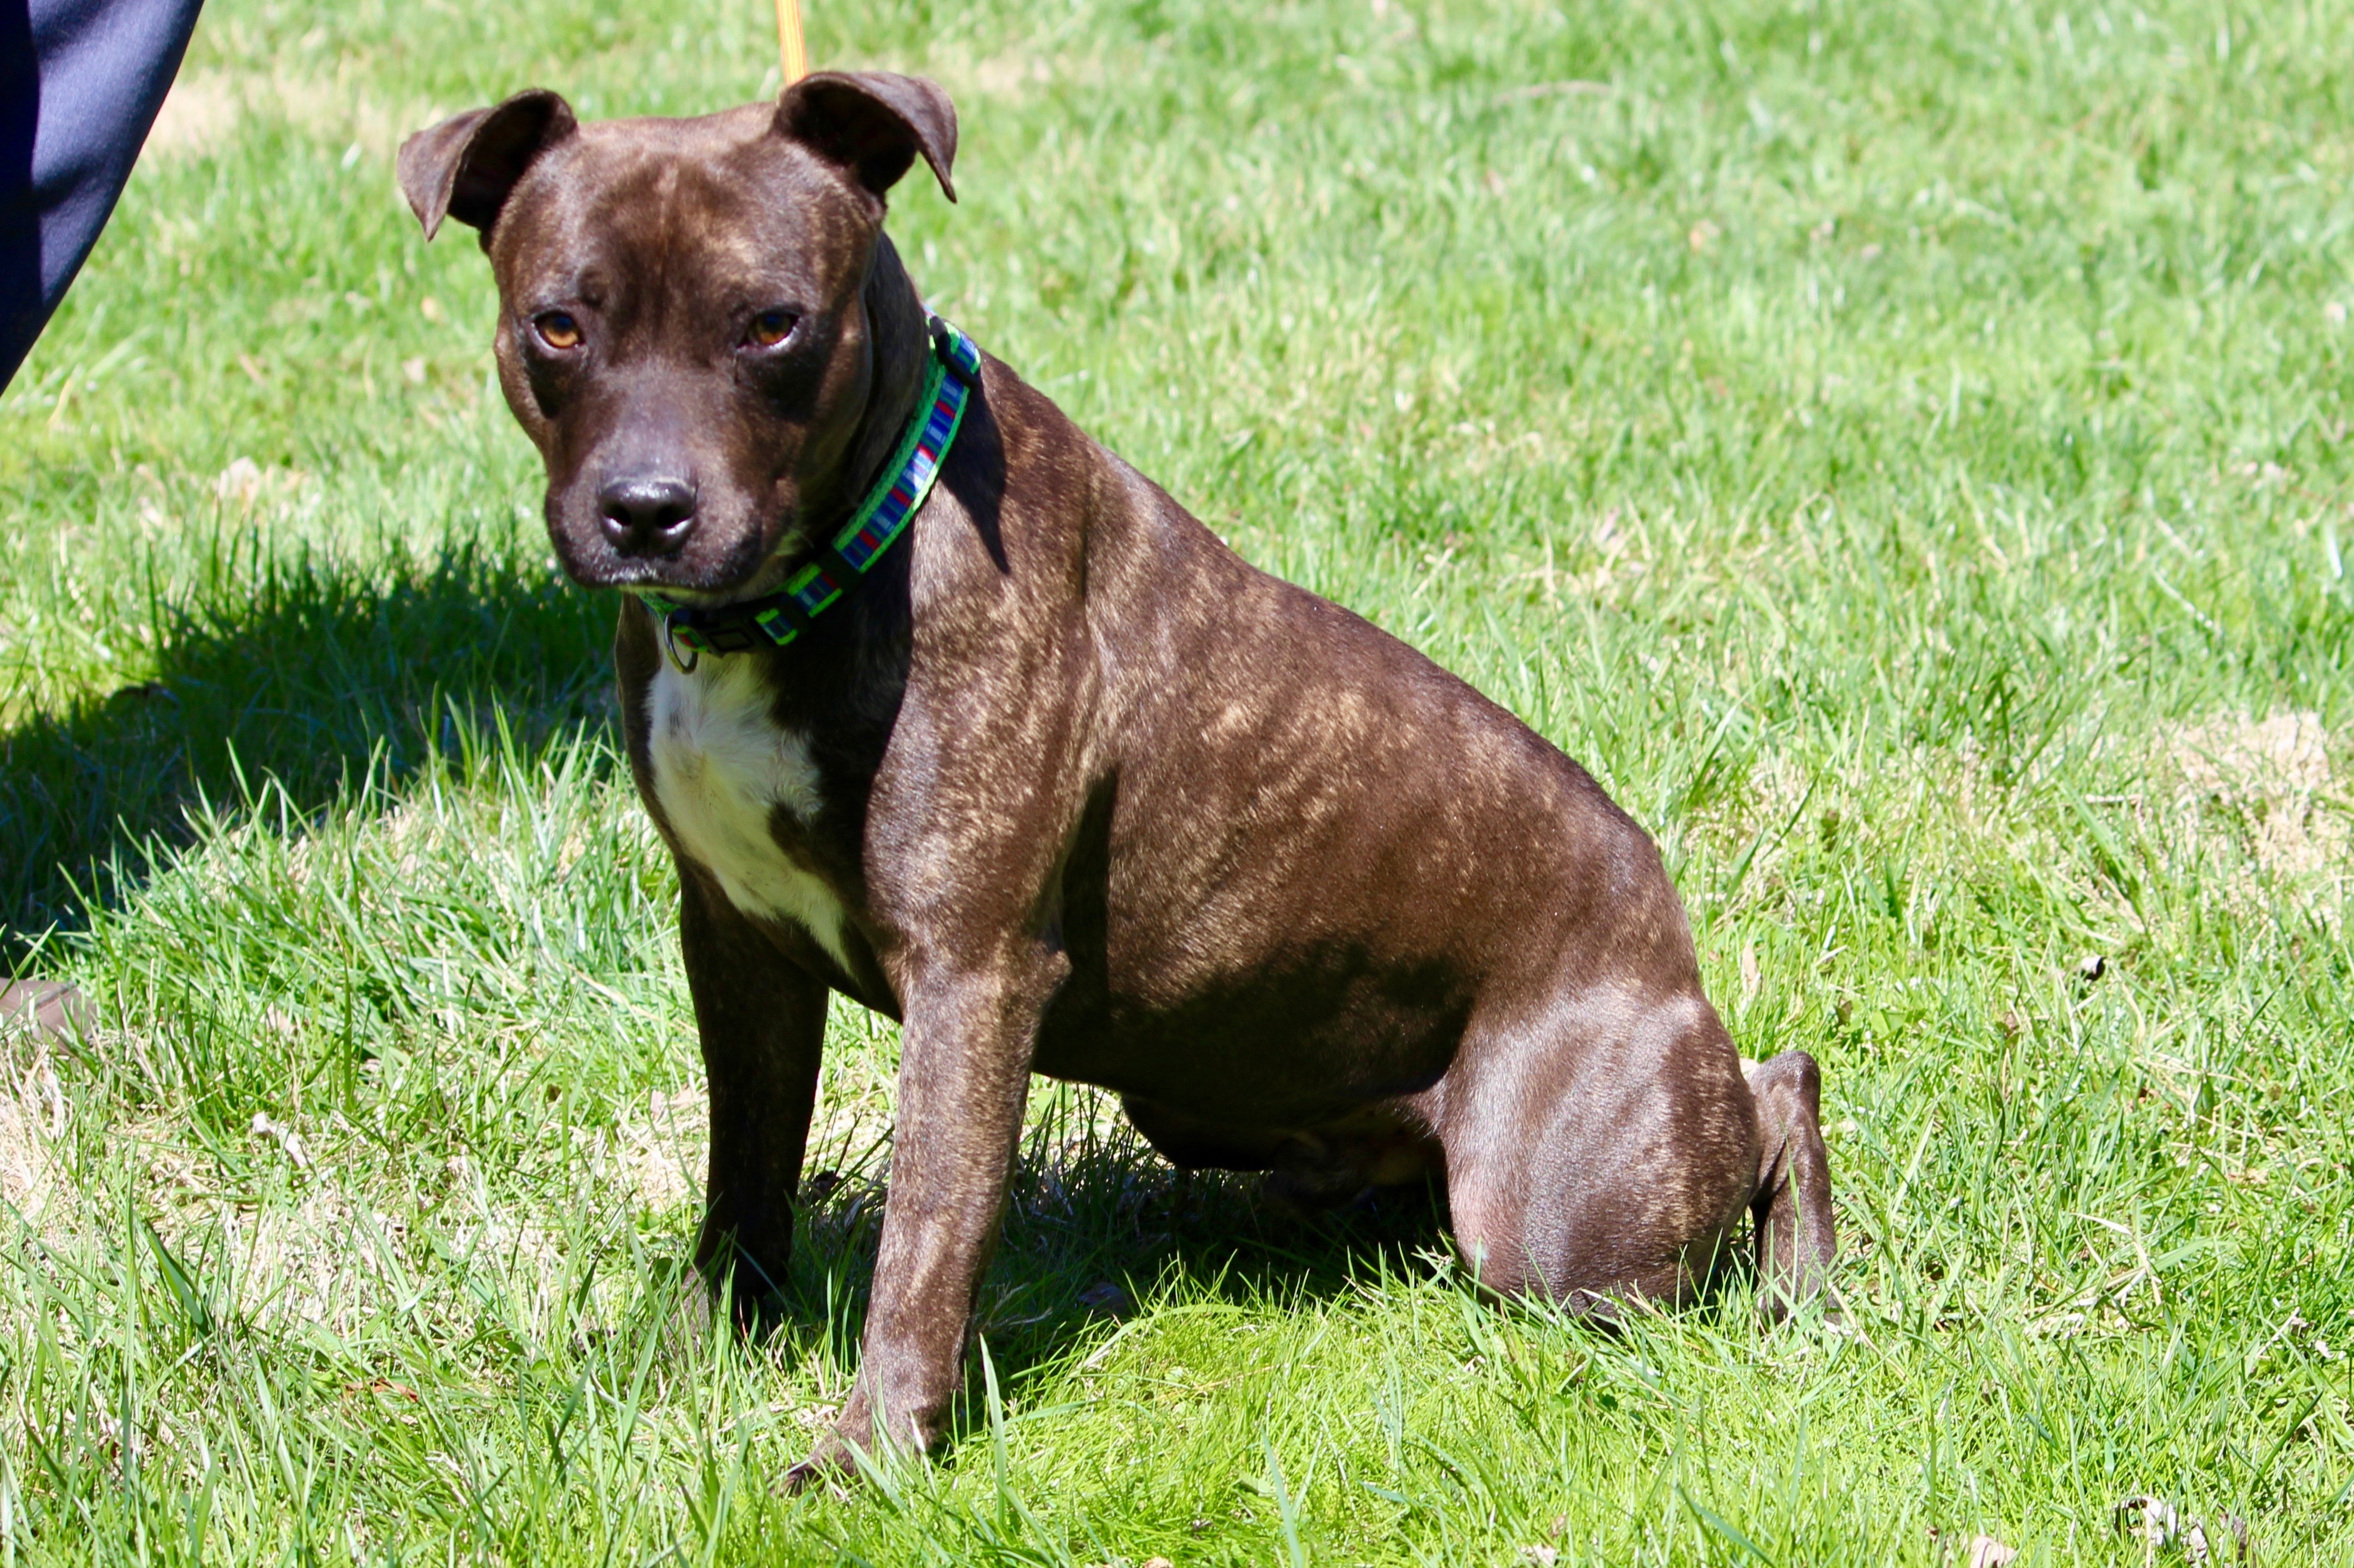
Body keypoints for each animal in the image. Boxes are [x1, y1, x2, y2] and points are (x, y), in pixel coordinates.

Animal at [395, 73, 1827, 1478]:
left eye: (772, 326)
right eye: (557, 325)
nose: (646, 510)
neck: (824, 576)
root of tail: (1664, 928)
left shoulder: (970, 975)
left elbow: (926, 1233)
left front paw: (871, 1456)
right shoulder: (735, 942)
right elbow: (744, 1168)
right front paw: (701, 1348)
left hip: (1555, 1211)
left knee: (1777, 1091)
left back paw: (1801, 1284)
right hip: (1220, 1097)